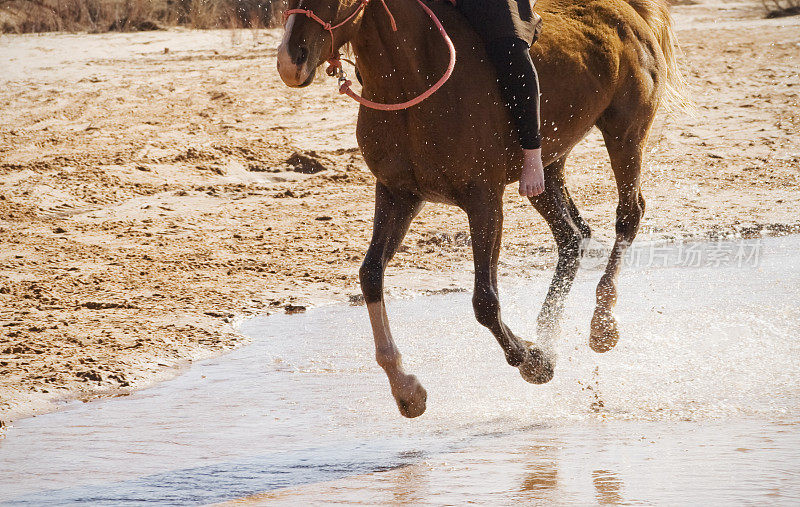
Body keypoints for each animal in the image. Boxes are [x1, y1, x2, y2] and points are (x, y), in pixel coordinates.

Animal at [278, 0, 684, 418]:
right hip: (549, 167)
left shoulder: (484, 201)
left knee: (628, 216)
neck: (413, 79)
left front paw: (534, 362)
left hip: (626, 133)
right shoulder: (397, 194)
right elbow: (371, 275)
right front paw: (406, 389)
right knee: (573, 237)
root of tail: (628, 9)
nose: (290, 63)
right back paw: (548, 330)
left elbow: (485, 302)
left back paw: (602, 324)